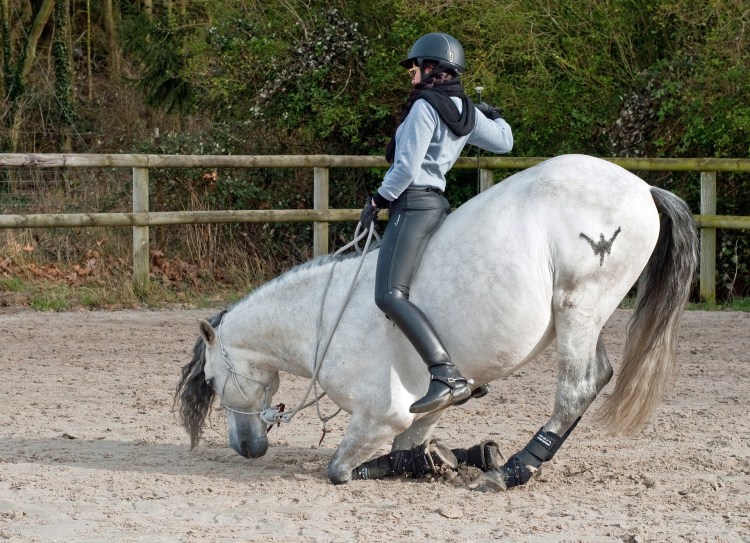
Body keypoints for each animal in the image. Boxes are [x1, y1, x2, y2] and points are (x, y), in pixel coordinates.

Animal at [175, 154, 698, 491]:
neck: (320, 322)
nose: (245, 446)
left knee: (577, 388)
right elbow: (412, 449)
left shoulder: (376, 418)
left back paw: (512, 473)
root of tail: (641, 187)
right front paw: (453, 456)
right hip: (591, 317)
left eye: (211, 380)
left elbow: (343, 469)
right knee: (598, 376)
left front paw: (447, 460)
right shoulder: (422, 414)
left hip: (579, 307)